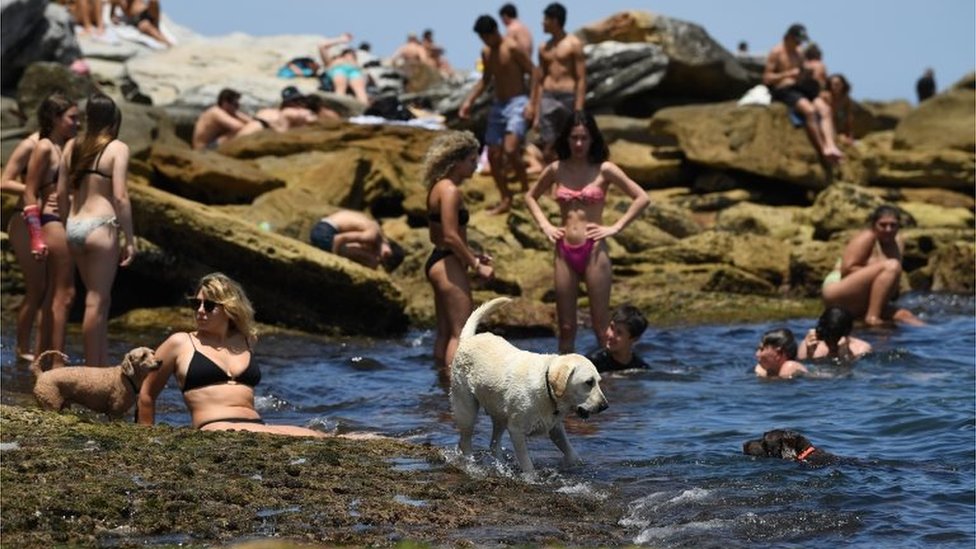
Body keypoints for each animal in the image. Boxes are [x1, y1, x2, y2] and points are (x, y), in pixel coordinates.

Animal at [31, 346, 160, 420]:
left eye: (153, 353)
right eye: (143, 356)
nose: (160, 361)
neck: (127, 377)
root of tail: (41, 374)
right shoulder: (115, 413)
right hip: (52, 405)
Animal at [452, 296, 608, 470]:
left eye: (598, 381)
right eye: (589, 382)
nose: (605, 406)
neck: (546, 386)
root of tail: (468, 339)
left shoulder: (555, 427)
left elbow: (571, 453)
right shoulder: (516, 431)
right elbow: (527, 465)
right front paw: (530, 475)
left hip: (499, 412)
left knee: (493, 445)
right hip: (467, 409)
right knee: (465, 442)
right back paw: (471, 465)